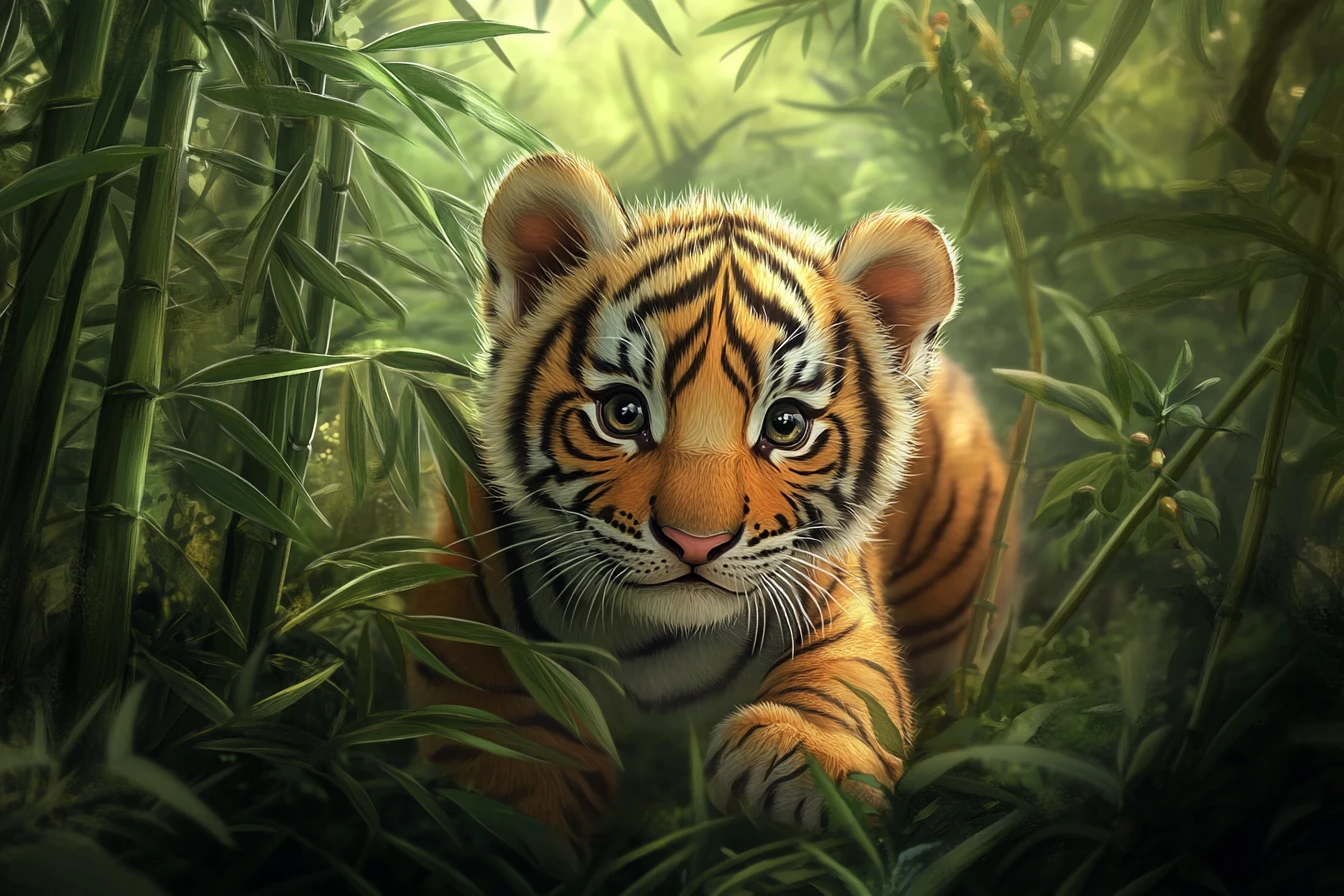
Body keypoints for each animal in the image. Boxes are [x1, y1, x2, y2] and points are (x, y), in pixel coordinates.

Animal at [406, 152, 1014, 842]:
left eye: (785, 425)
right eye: (623, 413)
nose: (696, 543)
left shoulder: (843, 609)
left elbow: (853, 684)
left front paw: (803, 761)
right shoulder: (468, 639)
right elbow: (507, 765)